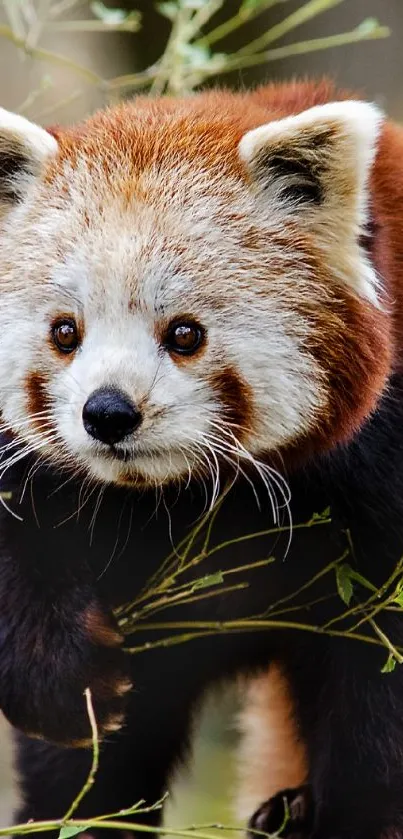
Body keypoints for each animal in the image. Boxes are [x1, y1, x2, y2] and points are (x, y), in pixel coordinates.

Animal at [0, 80, 402, 839]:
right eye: (65, 332)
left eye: (185, 333)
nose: (107, 413)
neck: (185, 499)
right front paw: (56, 676)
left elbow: (376, 686)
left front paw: (357, 813)